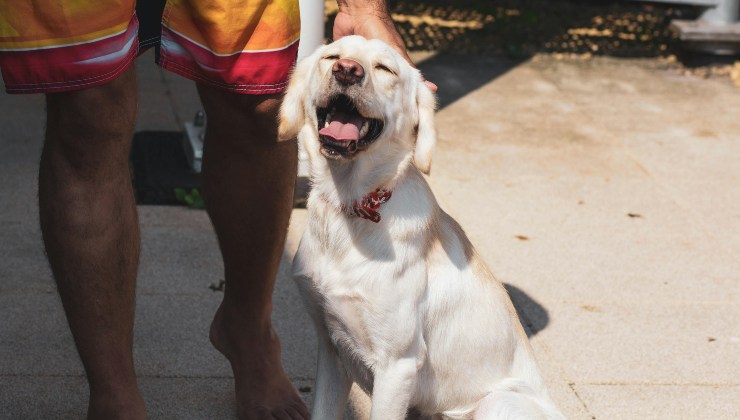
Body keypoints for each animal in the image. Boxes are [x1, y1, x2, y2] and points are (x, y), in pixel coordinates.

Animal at [278, 37, 568, 420]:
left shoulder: (397, 365)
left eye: (384, 68)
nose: (347, 70)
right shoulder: (331, 348)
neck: (350, 207)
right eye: (332, 57)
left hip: (496, 403)